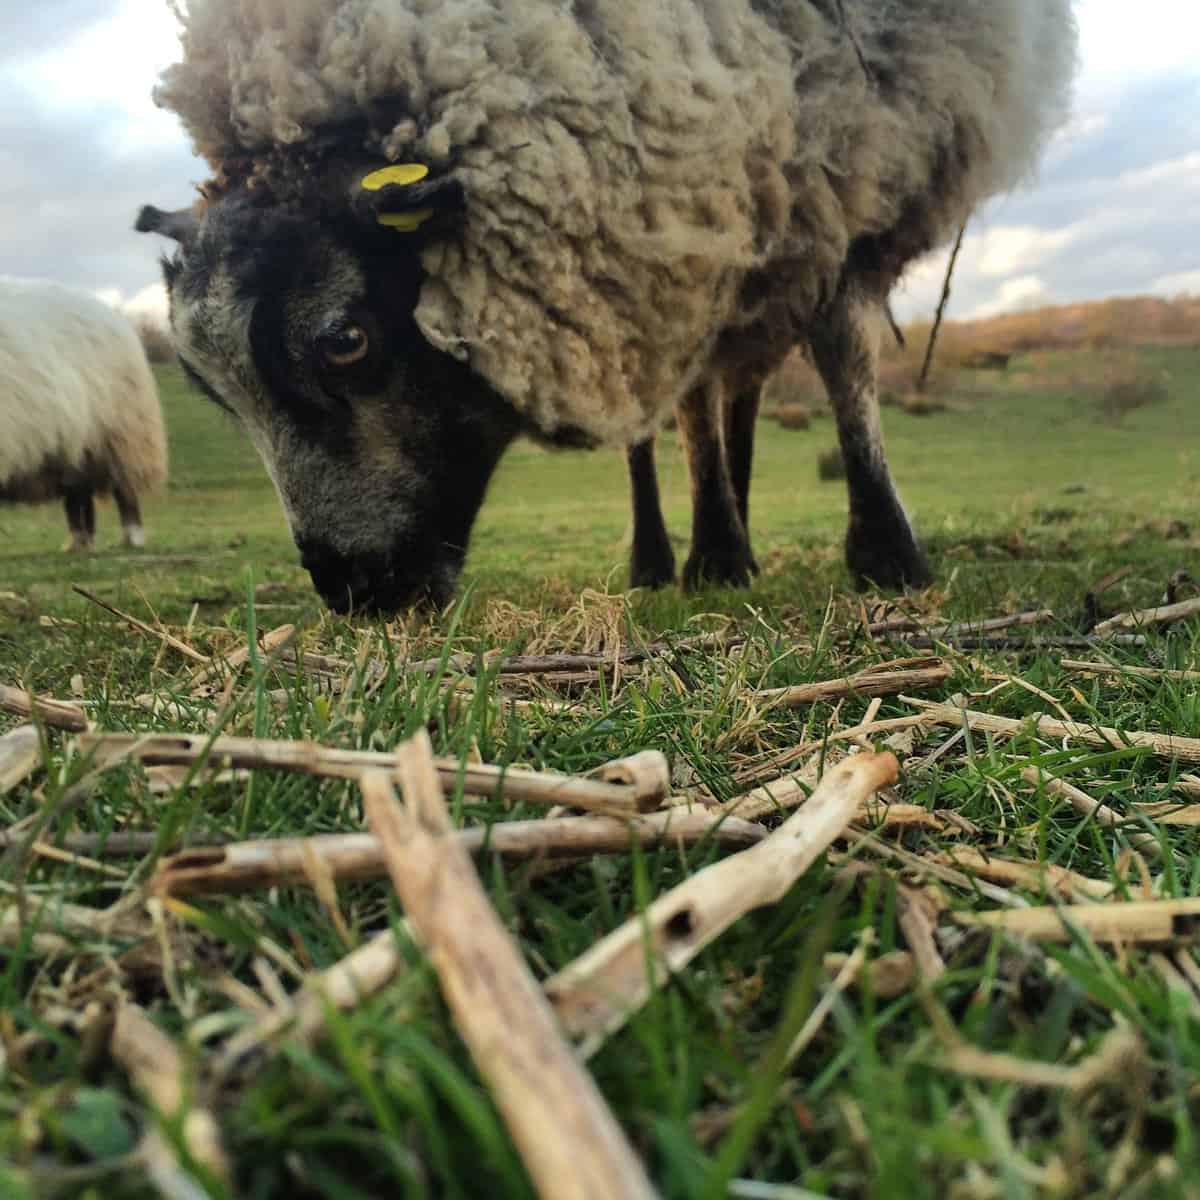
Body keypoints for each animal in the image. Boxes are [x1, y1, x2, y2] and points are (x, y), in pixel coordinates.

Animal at [0, 278, 168, 550]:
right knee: (78, 495)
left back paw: (132, 538)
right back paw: (80, 543)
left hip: (119, 434)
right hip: (80, 446)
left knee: (124, 492)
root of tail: (111, 315)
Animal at [137, 0, 1077, 613]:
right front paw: (715, 553)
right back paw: (675, 552)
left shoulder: (848, 154)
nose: (355, 591)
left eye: (345, 339)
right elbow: (688, 407)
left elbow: (842, 350)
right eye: (214, 394)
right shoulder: (684, 210)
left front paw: (885, 552)